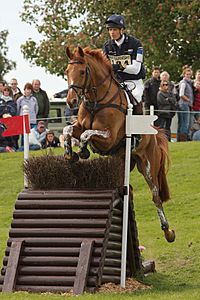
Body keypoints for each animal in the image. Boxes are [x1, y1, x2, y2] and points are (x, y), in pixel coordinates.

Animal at [62, 47, 175, 244]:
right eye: (67, 72)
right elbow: (68, 129)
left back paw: (168, 232)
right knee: (129, 189)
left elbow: (86, 134)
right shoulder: (79, 127)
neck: (96, 100)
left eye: (82, 72)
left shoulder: (109, 137)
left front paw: (82, 151)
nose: (71, 101)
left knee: (156, 196)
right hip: (122, 163)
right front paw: (70, 153)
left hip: (147, 166)